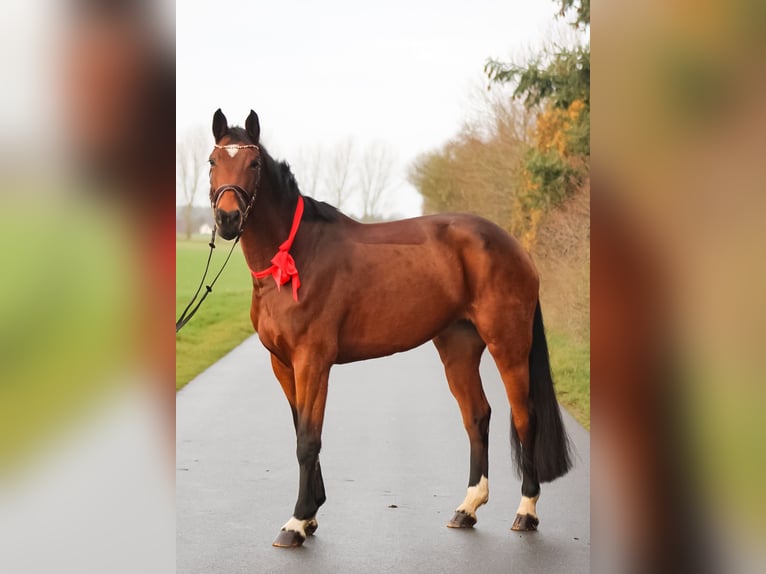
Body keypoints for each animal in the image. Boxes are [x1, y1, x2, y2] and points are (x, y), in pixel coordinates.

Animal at [207, 109, 572, 548]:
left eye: (254, 164)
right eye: (212, 161)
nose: (228, 218)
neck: (296, 256)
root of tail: (514, 246)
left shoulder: (313, 362)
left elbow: (308, 440)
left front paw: (296, 523)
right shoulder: (282, 363)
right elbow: (300, 432)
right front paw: (311, 515)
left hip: (509, 344)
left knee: (524, 417)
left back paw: (526, 512)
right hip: (458, 347)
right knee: (477, 415)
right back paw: (467, 509)